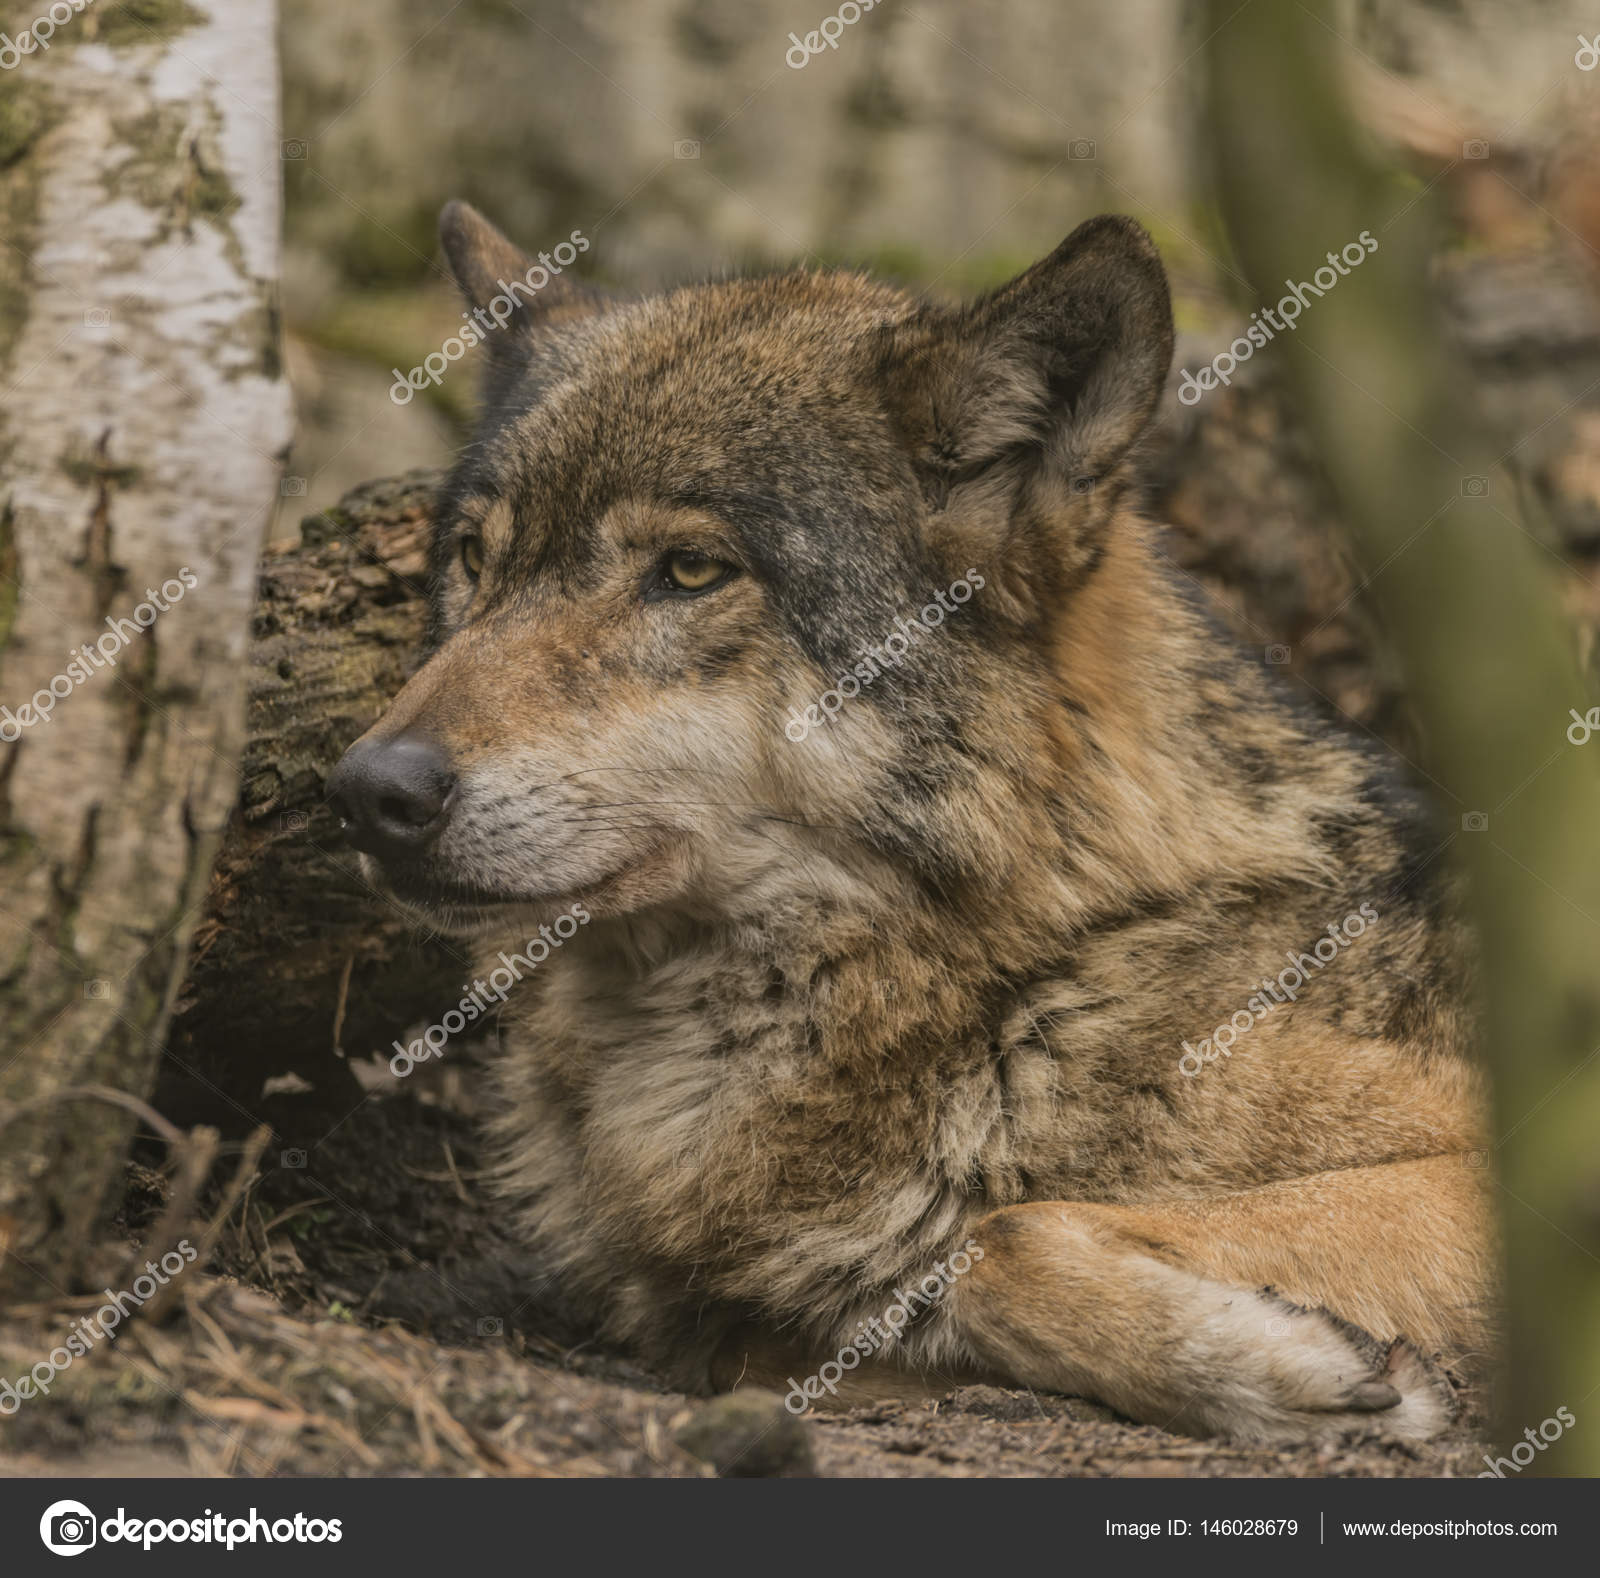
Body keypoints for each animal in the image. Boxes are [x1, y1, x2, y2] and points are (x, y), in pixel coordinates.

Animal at [324, 200, 1492, 1444]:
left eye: (687, 570)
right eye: (472, 560)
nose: (370, 792)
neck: (1020, 979)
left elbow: (991, 1241)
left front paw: (1281, 1364)